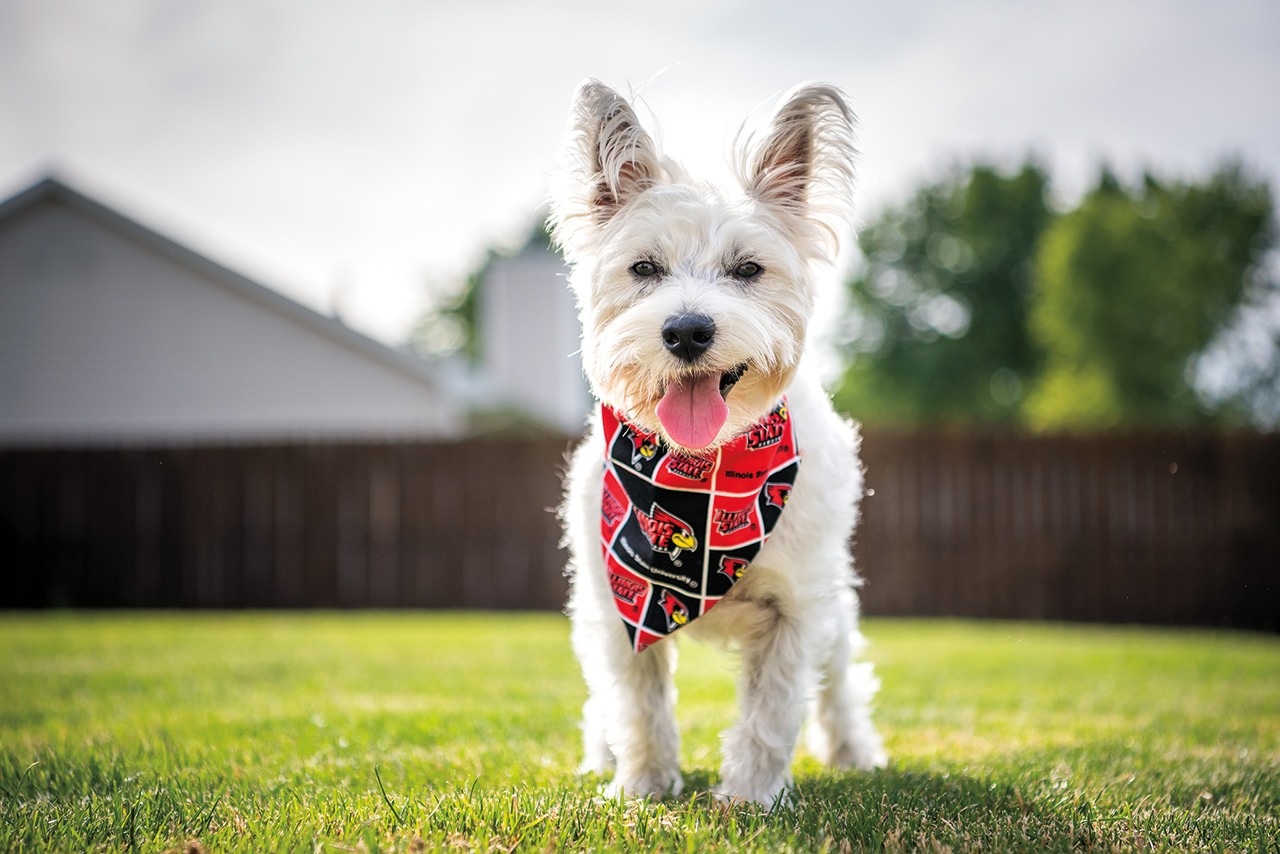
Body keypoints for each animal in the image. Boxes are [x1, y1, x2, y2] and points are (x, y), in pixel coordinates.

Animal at [550, 80, 890, 809]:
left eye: (747, 268)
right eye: (644, 267)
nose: (686, 330)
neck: (701, 472)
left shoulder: (796, 609)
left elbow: (771, 709)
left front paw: (750, 797)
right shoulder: (622, 607)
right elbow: (639, 705)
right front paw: (643, 787)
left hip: (835, 609)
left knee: (841, 686)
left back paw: (854, 753)